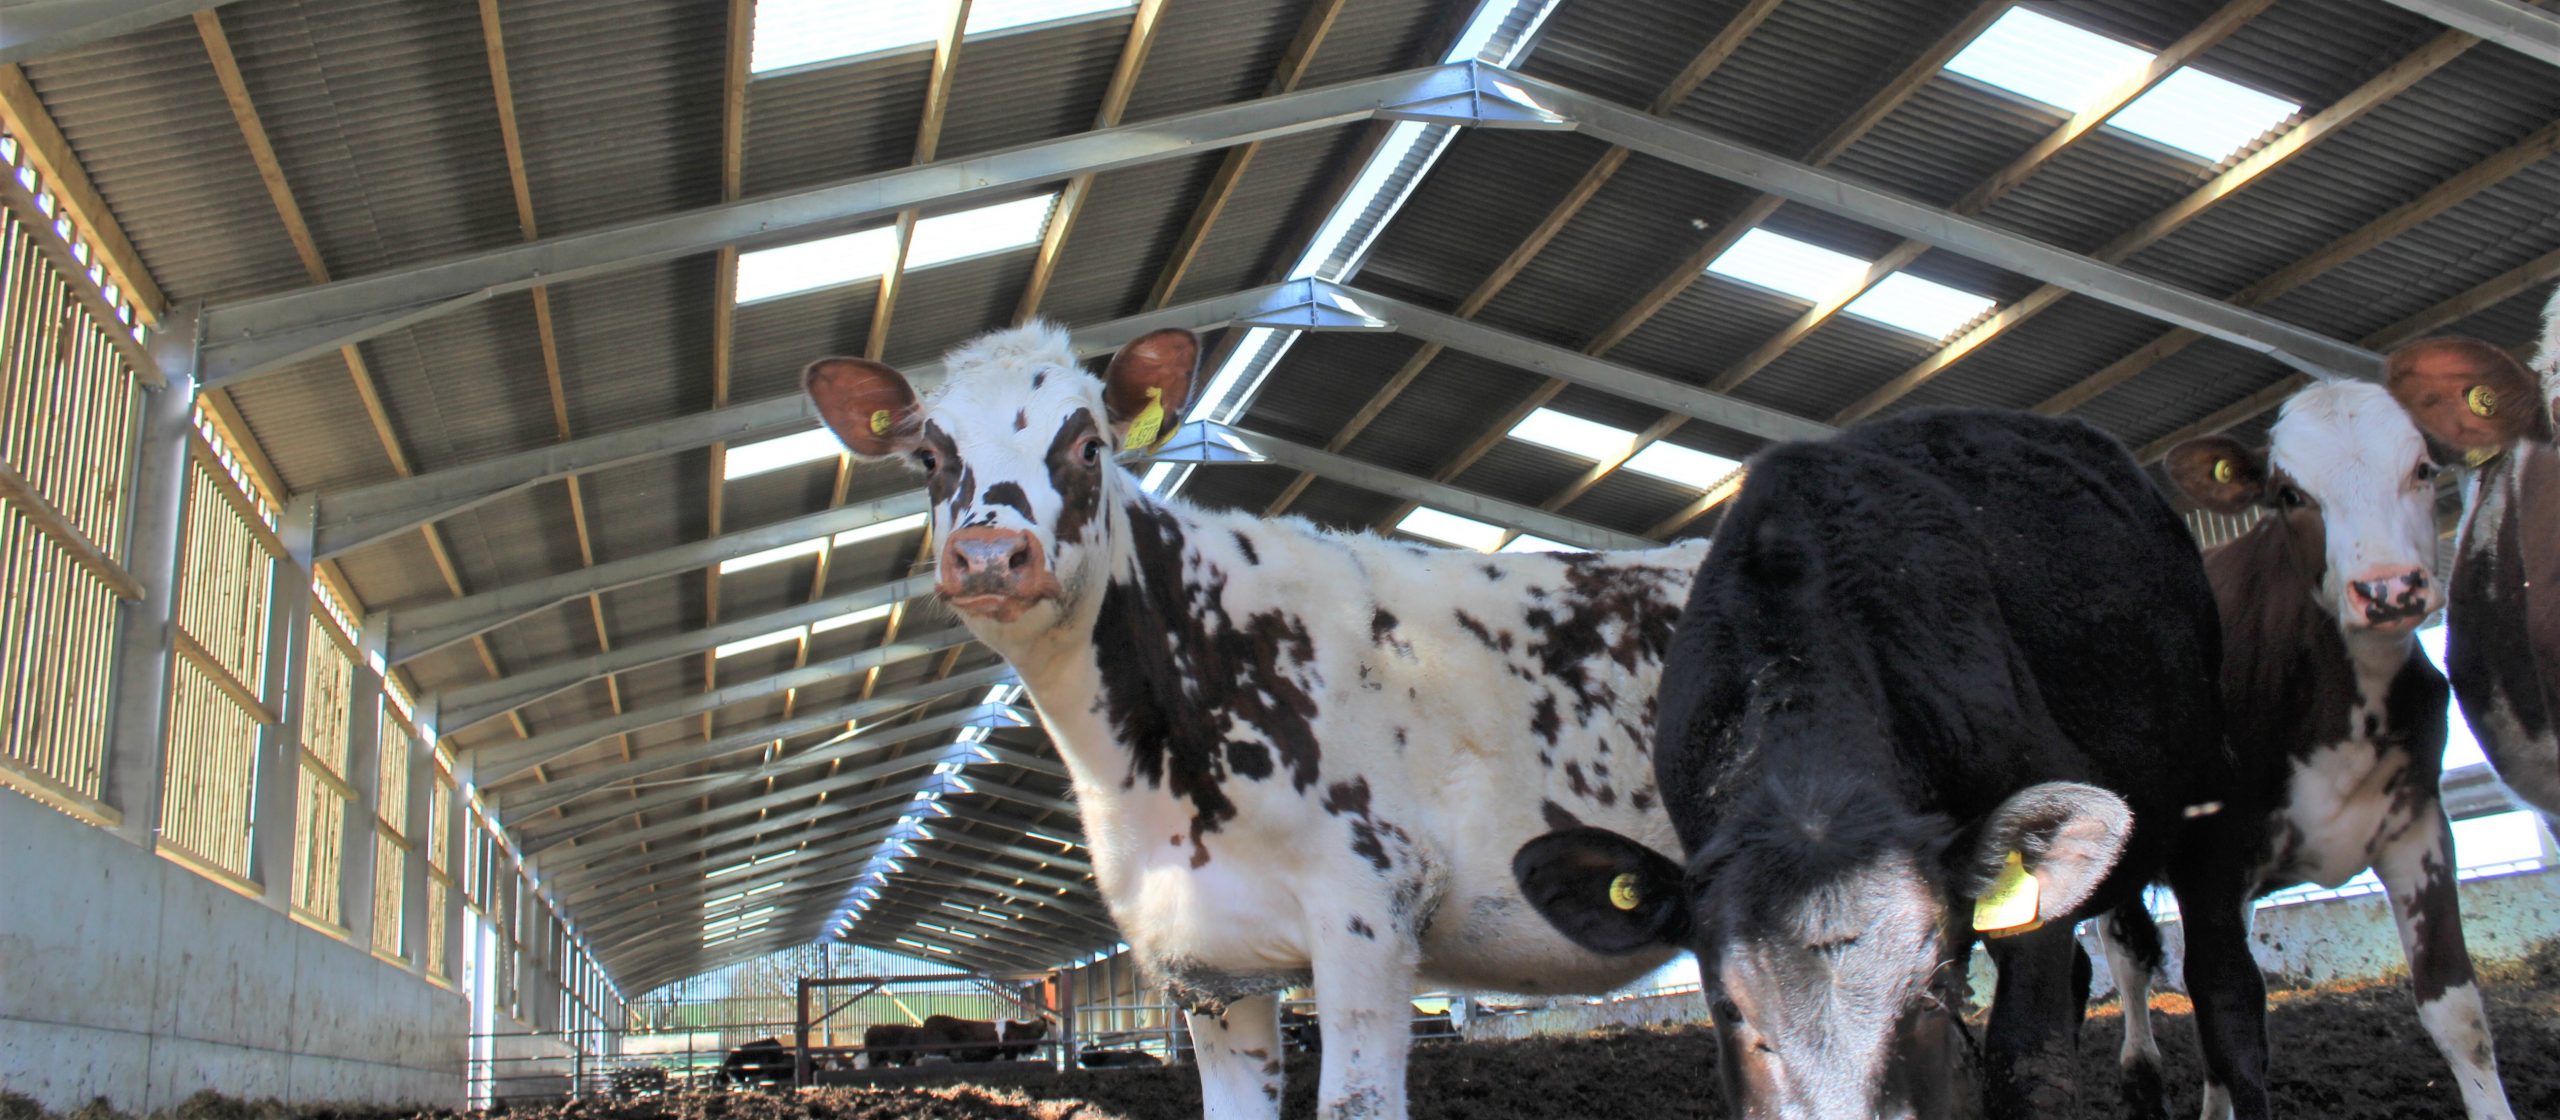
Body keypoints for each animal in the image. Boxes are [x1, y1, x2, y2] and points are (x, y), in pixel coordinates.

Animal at [808, 323, 1710, 1120]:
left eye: (1090, 446)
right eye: (932, 457)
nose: (990, 556)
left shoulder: (1370, 904)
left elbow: (1355, 1103)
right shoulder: (1203, 956)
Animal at [2160, 381, 2539, 1114]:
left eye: (2423, 468)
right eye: (2288, 494)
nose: (2388, 588)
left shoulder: (2419, 832)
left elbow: (2456, 1008)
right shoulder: (2208, 868)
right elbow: (2236, 1030)